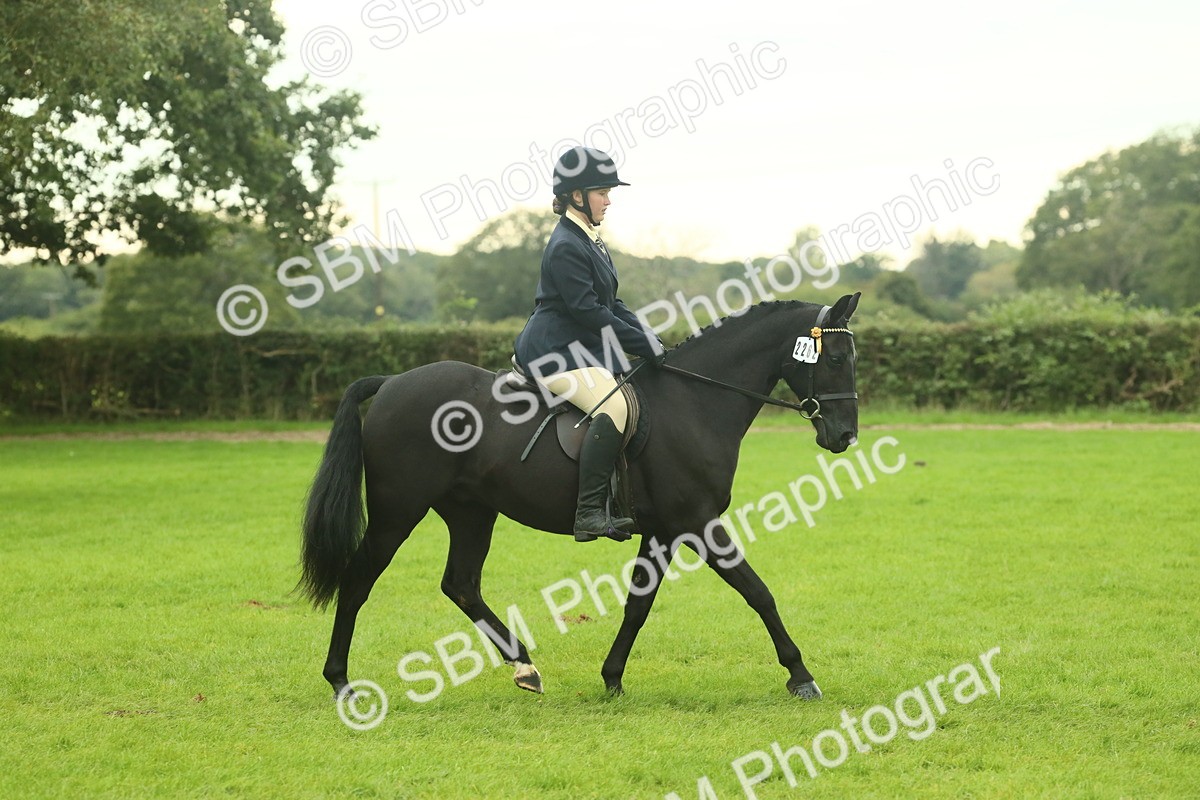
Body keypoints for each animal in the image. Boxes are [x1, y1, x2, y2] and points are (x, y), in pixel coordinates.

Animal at [299, 292, 861, 701]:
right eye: (834, 358)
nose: (844, 436)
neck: (696, 401)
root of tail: (392, 382)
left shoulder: (663, 531)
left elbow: (638, 604)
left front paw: (612, 677)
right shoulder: (698, 522)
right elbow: (758, 591)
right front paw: (801, 675)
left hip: (471, 511)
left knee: (460, 584)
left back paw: (525, 668)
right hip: (398, 511)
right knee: (358, 580)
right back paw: (341, 682)